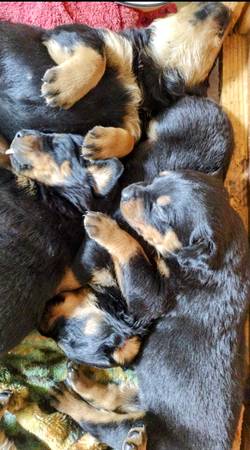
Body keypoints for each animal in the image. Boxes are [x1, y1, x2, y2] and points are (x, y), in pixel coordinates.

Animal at [0, 2, 230, 158]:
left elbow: (131, 139)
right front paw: (62, 87)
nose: (226, 9)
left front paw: (99, 144)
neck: (142, 78)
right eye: (220, 34)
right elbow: (97, 58)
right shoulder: (71, 33)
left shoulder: (134, 118)